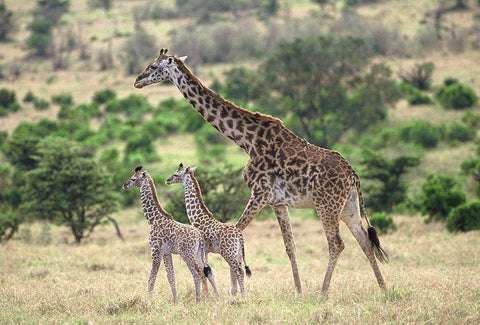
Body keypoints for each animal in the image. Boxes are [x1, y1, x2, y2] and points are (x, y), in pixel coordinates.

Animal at [122, 166, 218, 302]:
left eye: (133, 178)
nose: (124, 185)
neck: (153, 220)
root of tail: (199, 236)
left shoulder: (156, 250)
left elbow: (151, 278)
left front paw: (148, 300)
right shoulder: (167, 253)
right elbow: (171, 276)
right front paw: (176, 300)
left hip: (187, 253)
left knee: (197, 272)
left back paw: (200, 299)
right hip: (199, 253)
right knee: (208, 270)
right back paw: (216, 297)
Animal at [166, 163, 251, 294]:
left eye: (176, 174)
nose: (167, 180)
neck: (198, 218)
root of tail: (239, 235)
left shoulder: (203, 250)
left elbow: (203, 272)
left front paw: (206, 295)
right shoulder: (205, 251)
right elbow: (206, 272)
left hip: (228, 253)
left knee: (239, 271)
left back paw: (243, 296)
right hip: (238, 254)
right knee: (238, 270)